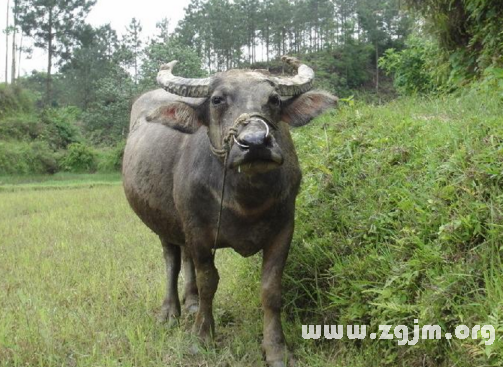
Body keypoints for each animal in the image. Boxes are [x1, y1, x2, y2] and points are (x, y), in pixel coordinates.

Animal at [121, 56, 338, 366]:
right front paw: (202, 336)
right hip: (162, 222)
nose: (256, 143)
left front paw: (276, 349)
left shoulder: (284, 230)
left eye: (274, 99)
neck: (246, 198)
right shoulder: (198, 231)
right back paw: (170, 312)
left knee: (184, 258)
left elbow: (271, 289)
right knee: (172, 260)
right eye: (217, 100)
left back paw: (191, 303)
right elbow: (209, 281)